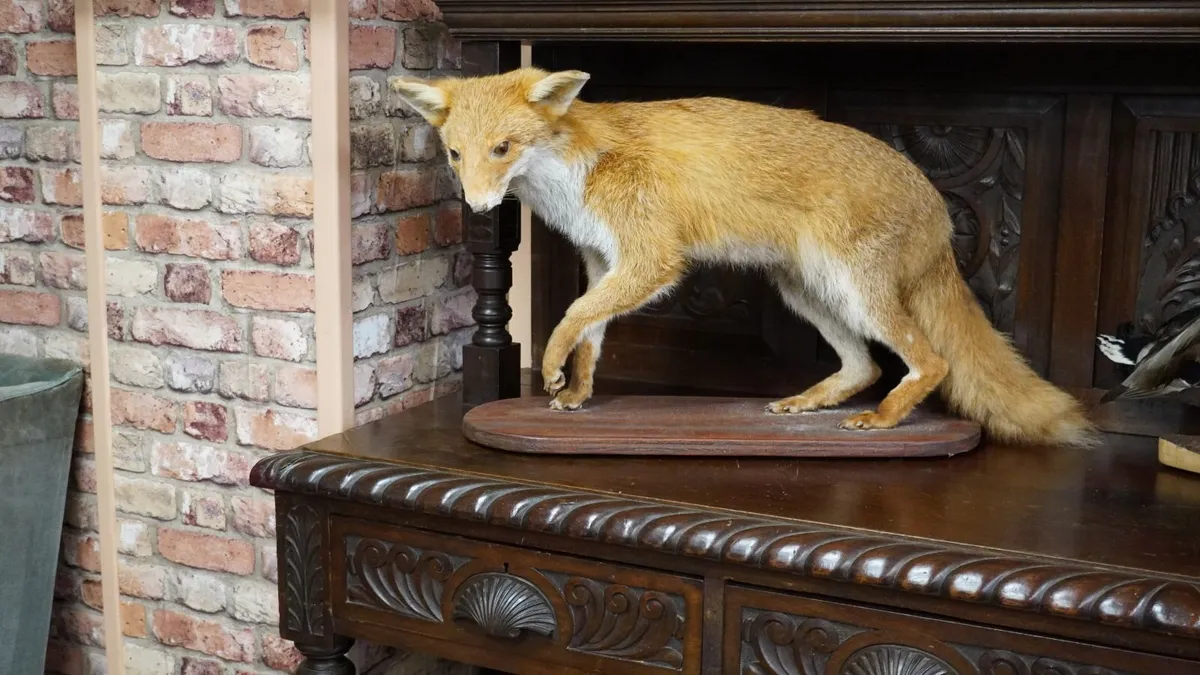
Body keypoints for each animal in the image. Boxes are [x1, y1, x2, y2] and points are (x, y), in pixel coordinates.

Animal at [391, 67, 1097, 447]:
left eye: (503, 149)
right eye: (456, 153)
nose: (480, 207)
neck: (574, 173)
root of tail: (935, 202)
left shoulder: (650, 260)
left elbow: (569, 320)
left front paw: (550, 369)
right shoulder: (602, 258)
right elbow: (592, 330)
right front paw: (580, 391)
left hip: (854, 290)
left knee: (932, 362)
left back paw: (884, 419)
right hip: (806, 290)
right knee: (865, 365)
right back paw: (810, 403)